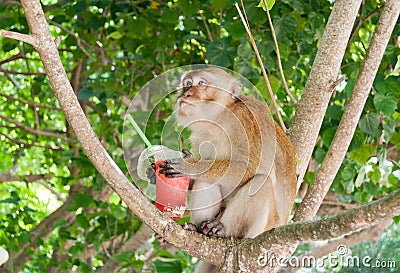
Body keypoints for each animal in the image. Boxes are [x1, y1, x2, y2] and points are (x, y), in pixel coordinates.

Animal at [156, 66, 296, 272]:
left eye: (201, 83)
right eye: (187, 83)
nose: (186, 94)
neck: (219, 119)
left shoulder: (245, 122)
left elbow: (252, 167)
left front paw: (190, 166)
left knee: (262, 183)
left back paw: (221, 230)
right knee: (207, 180)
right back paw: (201, 230)